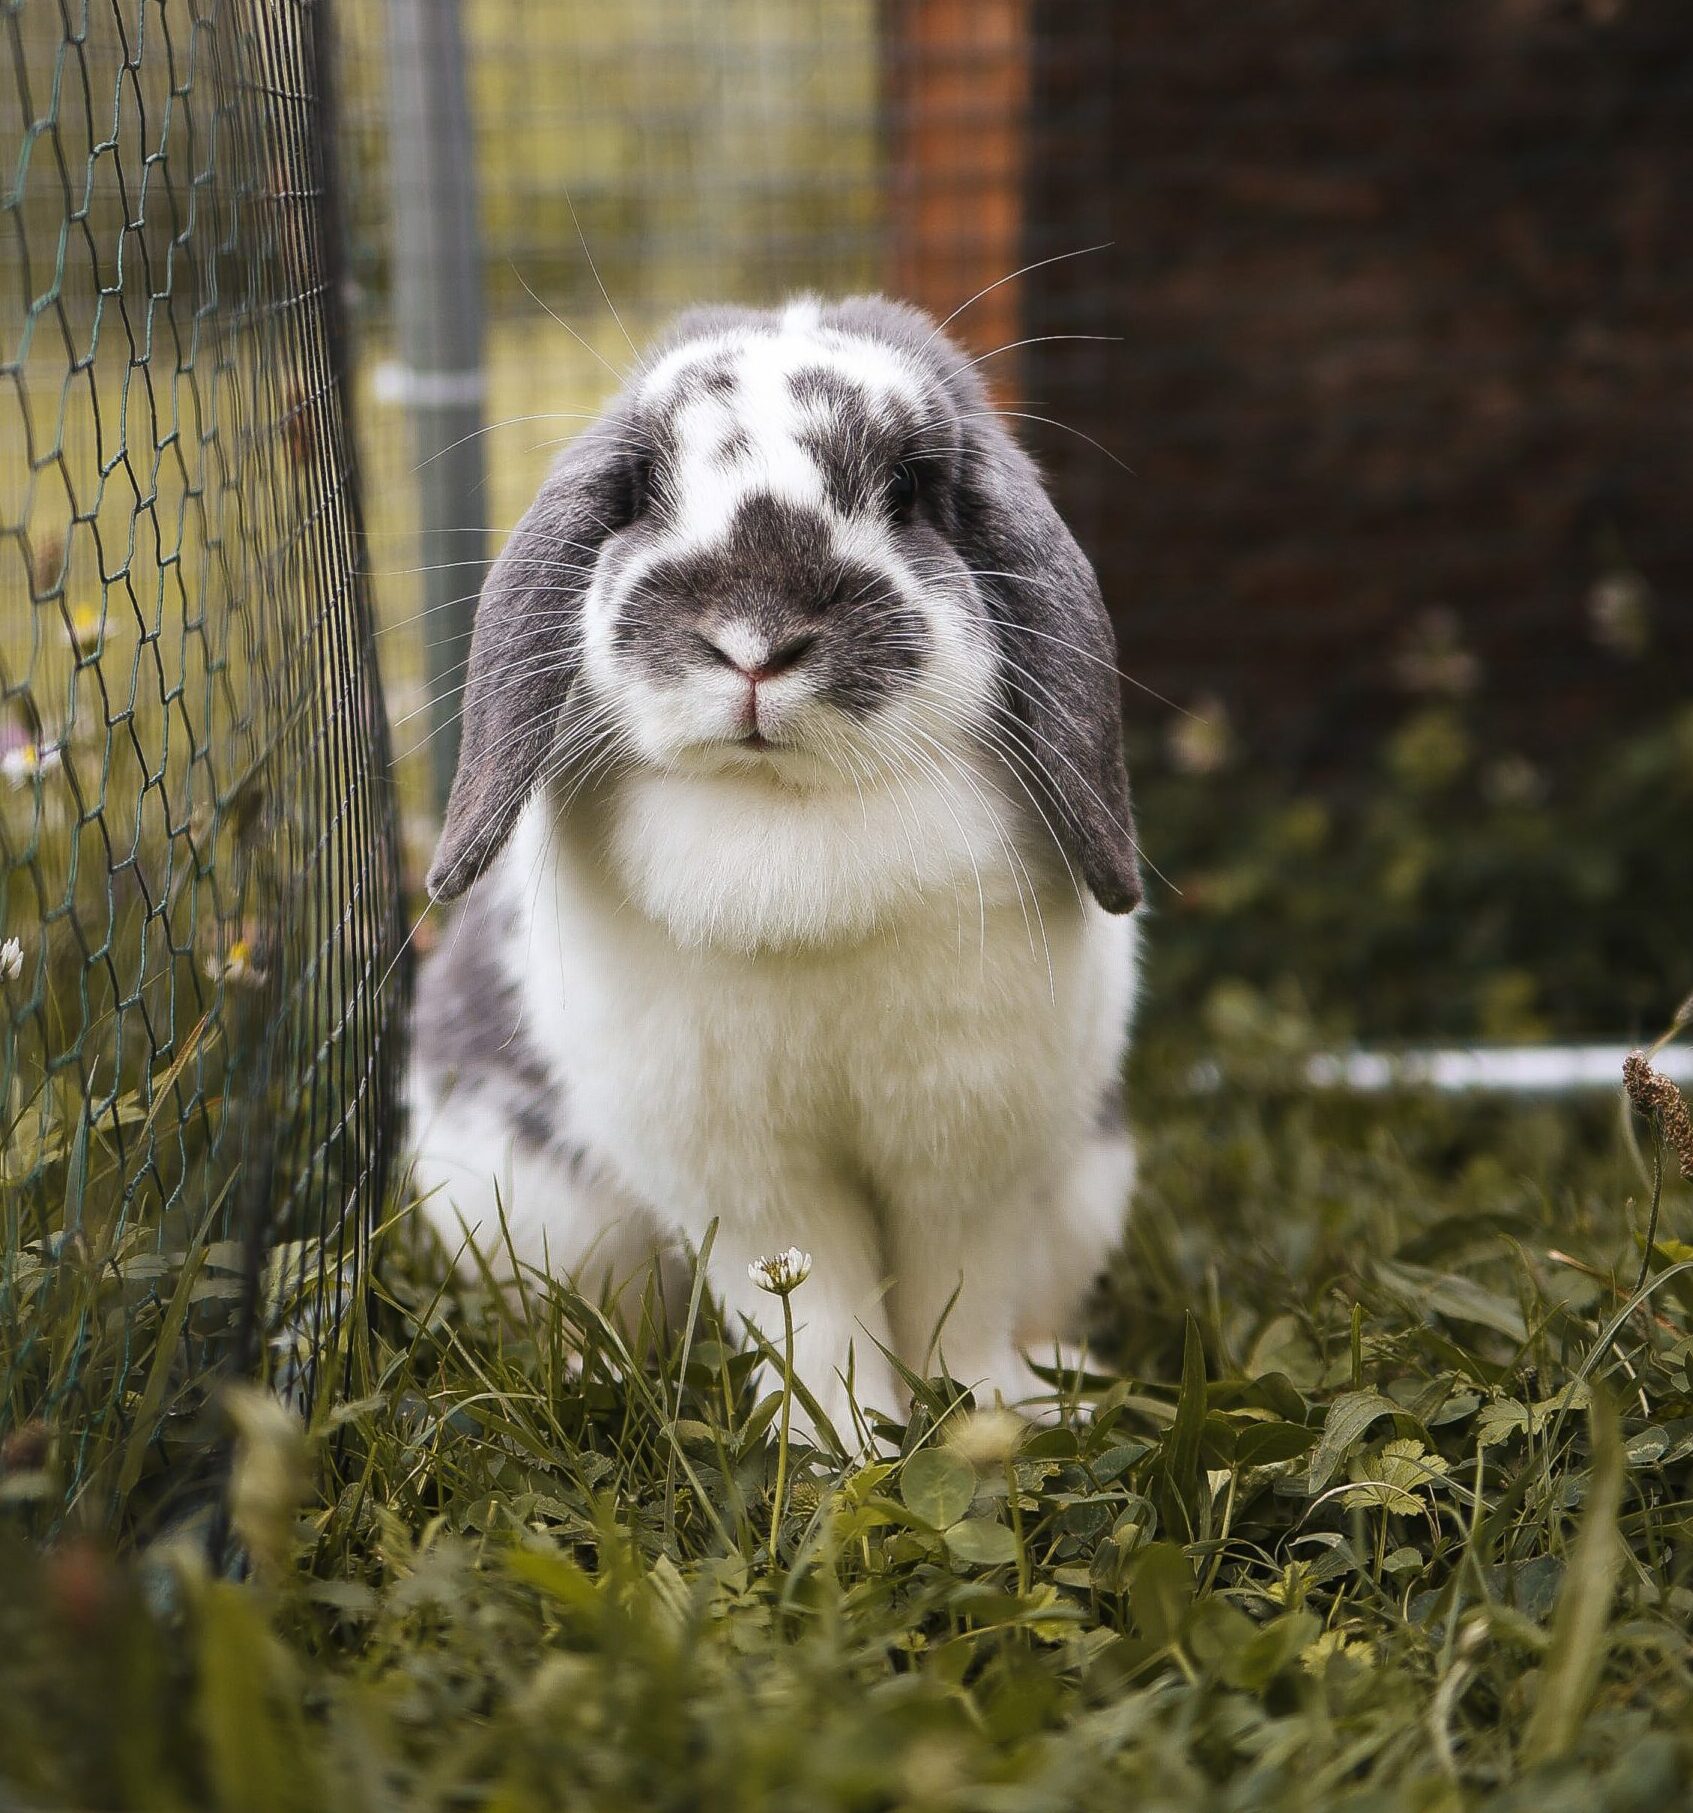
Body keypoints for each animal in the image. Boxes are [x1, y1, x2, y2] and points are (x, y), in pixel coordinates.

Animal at [406, 293, 1145, 1428]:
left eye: (908, 486)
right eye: (641, 488)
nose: (754, 639)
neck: (788, 818)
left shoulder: (972, 1146)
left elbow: (961, 1290)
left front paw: (980, 1414)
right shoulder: (744, 1176)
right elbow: (814, 1304)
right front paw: (844, 1437)